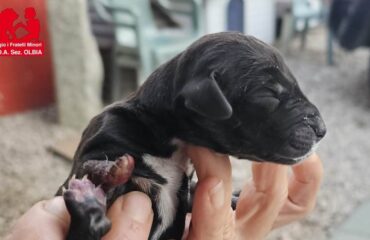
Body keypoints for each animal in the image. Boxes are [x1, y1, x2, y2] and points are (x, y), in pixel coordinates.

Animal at [56, 32, 326, 240]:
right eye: (269, 93)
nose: (322, 129)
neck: (168, 139)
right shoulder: (101, 136)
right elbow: (86, 164)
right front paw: (110, 171)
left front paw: (235, 198)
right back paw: (87, 201)